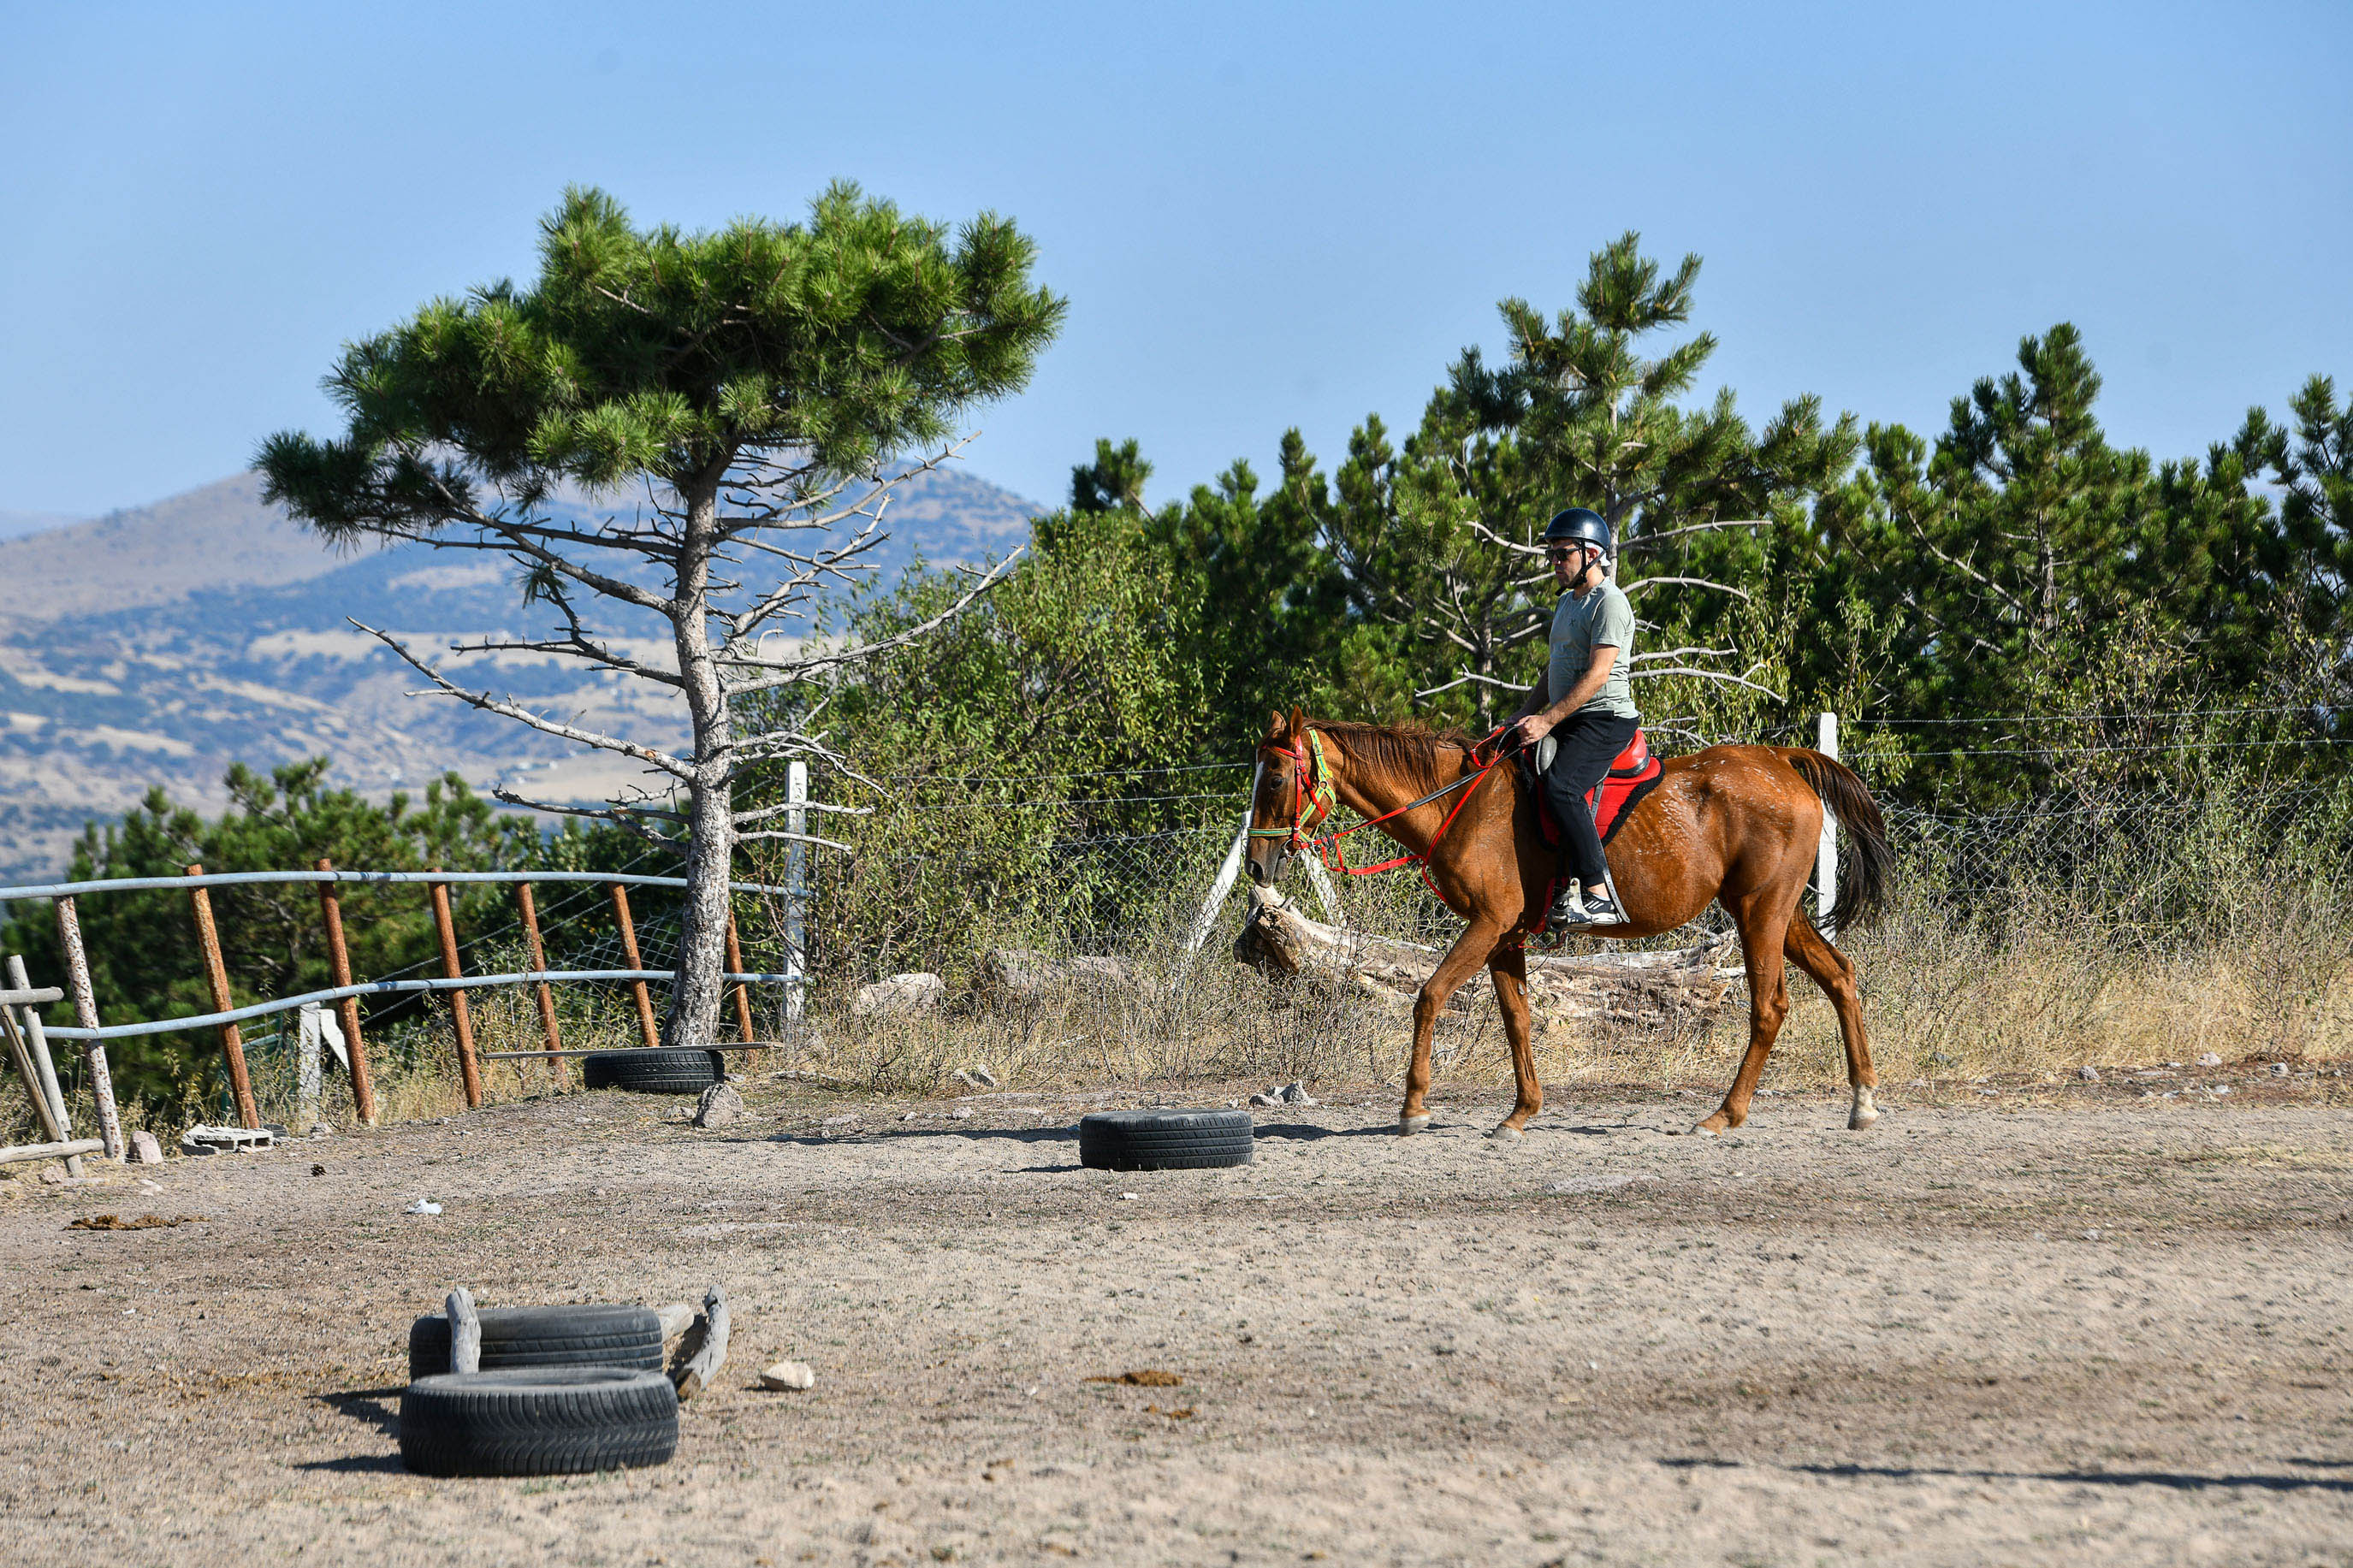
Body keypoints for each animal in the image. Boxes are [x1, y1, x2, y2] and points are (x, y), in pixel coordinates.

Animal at [1252, 709, 1892, 1142]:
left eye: (1277, 779)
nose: (1257, 864)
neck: (1460, 802)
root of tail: (1783, 760)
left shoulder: (1487, 924)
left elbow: (1429, 995)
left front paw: (1414, 1107)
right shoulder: (1504, 935)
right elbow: (1517, 1018)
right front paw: (1521, 1112)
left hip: (1761, 912)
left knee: (1769, 1006)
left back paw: (1724, 1114)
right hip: (1777, 912)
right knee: (1840, 976)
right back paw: (1862, 1100)